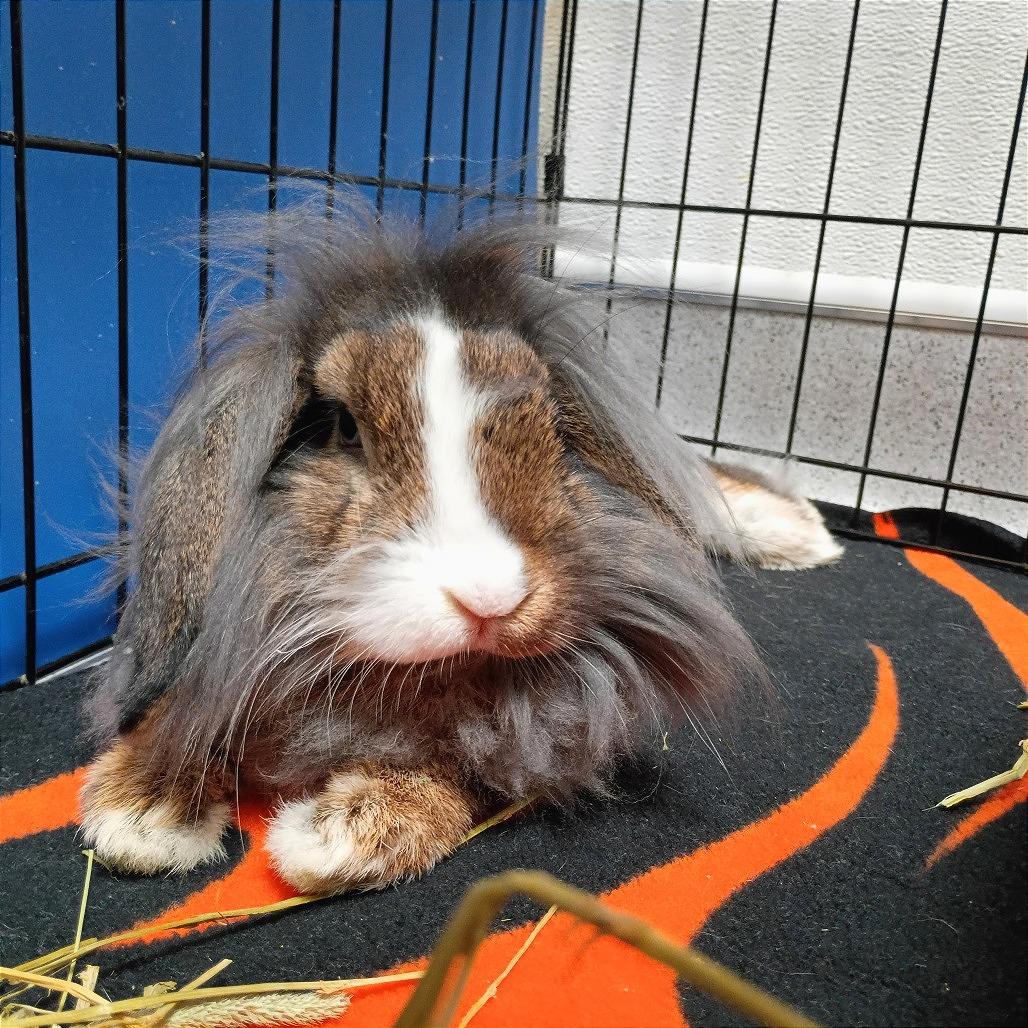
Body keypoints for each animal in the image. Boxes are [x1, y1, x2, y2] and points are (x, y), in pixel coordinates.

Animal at [80, 205, 841, 893]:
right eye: (341, 426)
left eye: (552, 423)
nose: (491, 599)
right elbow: (184, 708)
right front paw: (139, 811)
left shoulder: (542, 725)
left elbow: (476, 759)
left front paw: (343, 834)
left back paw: (802, 532)